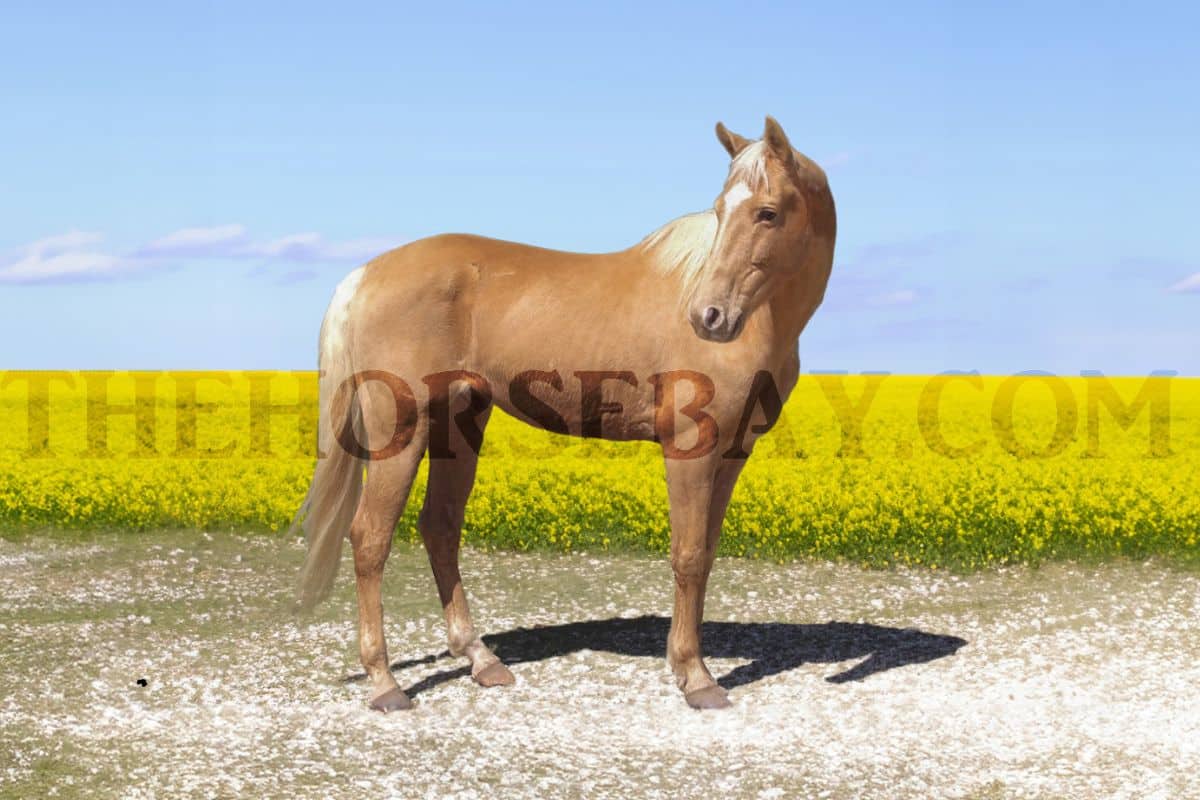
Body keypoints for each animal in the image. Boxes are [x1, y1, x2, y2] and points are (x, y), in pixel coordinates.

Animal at [291, 116, 837, 711]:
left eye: (767, 212)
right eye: (719, 210)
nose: (708, 317)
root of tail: (364, 275)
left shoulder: (735, 451)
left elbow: (707, 553)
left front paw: (687, 664)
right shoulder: (691, 446)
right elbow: (688, 555)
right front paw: (696, 678)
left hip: (459, 423)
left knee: (440, 528)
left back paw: (482, 661)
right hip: (401, 431)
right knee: (371, 538)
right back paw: (386, 683)